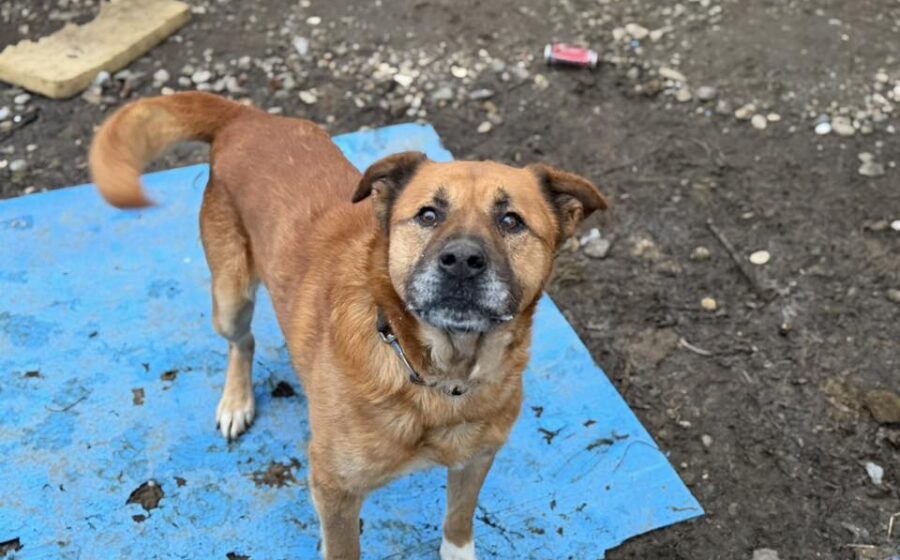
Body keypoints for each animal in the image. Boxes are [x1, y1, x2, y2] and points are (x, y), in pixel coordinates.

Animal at [90, 92, 607, 559]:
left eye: (511, 221)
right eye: (428, 214)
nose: (461, 261)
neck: (438, 377)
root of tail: (248, 119)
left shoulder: (476, 459)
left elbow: (458, 522)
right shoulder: (335, 488)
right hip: (230, 297)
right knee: (243, 341)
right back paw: (236, 400)